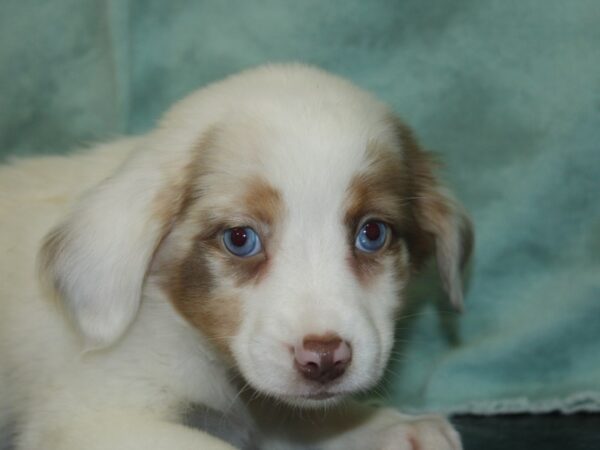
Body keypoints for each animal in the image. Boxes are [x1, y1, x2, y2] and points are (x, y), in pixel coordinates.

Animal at [0, 64, 474, 450]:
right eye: (241, 239)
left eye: (372, 233)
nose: (325, 360)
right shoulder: (90, 418)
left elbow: (295, 413)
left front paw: (389, 426)